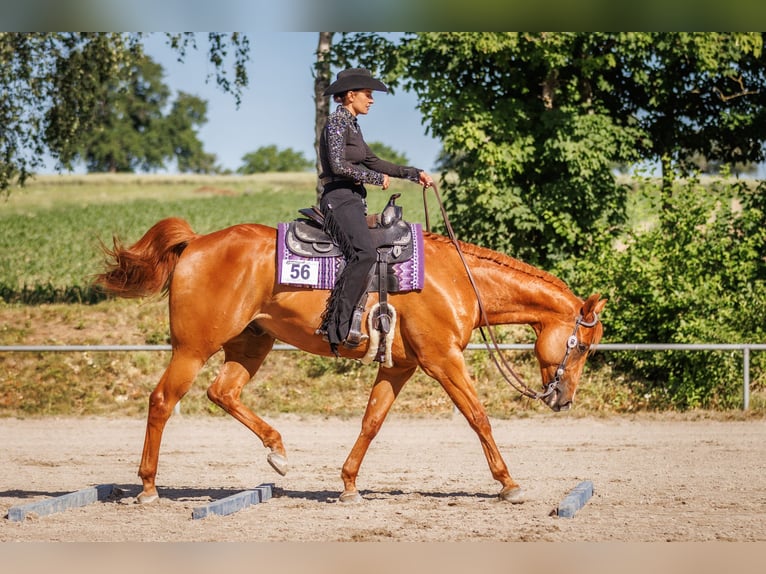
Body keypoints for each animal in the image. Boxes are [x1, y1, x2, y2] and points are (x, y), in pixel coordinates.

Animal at [95, 216, 606, 504]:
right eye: (582, 346)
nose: (563, 399)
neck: (457, 278)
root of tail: (197, 242)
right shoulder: (443, 360)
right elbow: (479, 417)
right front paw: (508, 483)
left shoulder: (399, 366)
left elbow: (371, 422)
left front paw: (348, 485)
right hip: (192, 348)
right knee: (162, 401)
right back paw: (147, 488)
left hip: (250, 344)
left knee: (223, 392)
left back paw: (278, 453)